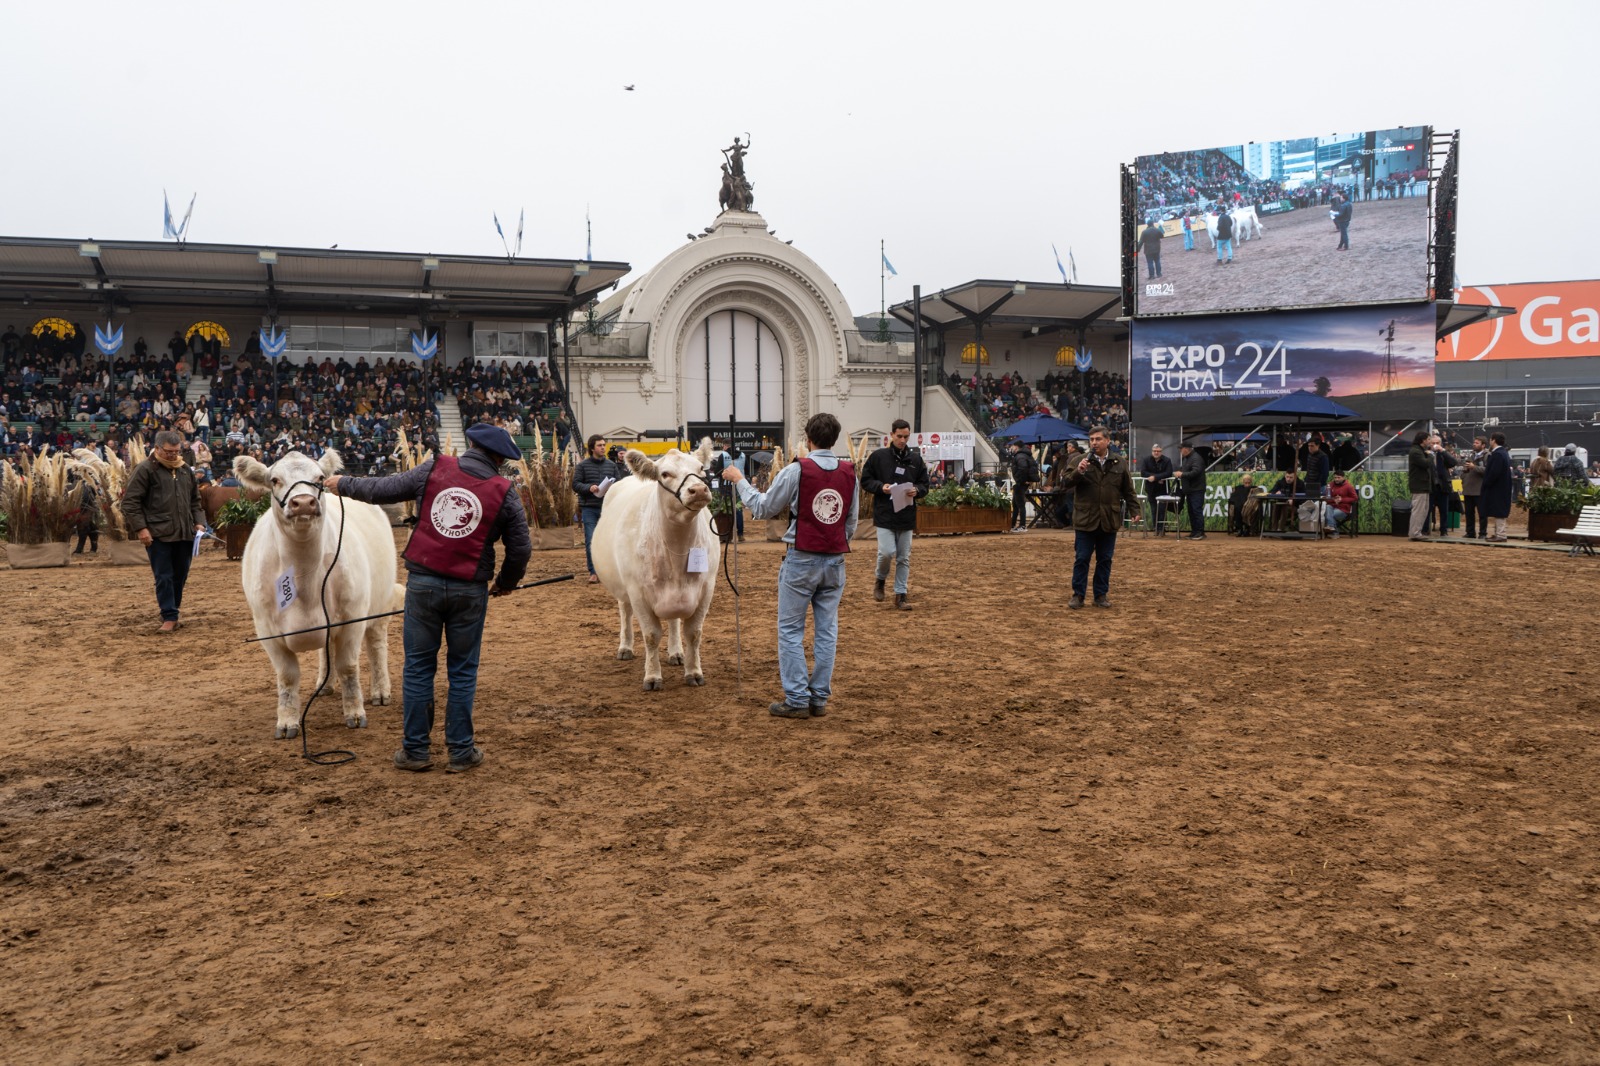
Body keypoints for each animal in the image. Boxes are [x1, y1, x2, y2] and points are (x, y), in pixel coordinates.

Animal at [233, 444, 403, 736]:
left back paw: (381, 691)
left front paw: (355, 713)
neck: (305, 582)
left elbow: (348, 667)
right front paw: (287, 721)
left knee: (377, 644)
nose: (303, 502)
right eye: (274, 480)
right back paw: (325, 683)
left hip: (379, 606)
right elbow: (287, 675)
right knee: (326, 649)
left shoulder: (353, 618)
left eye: (320, 478)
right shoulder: (266, 630)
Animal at [592, 438, 723, 688]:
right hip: (622, 588)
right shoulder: (637, 592)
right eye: (665, 474)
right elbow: (651, 635)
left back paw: (676, 653)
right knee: (625, 612)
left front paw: (694, 672)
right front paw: (652, 676)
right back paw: (625, 647)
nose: (699, 490)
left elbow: (693, 633)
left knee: (673, 621)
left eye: (701, 469)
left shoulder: (706, 588)